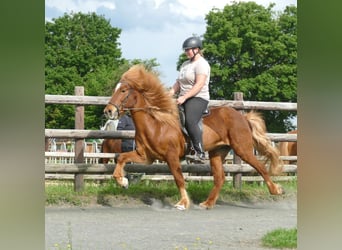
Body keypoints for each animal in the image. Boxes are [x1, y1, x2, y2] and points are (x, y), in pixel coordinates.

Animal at [103, 64, 284, 209]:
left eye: (123, 90)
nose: (108, 111)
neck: (156, 124)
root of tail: (243, 117)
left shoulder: (171, 156)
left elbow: (179, 178)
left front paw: (183, 203)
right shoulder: (145, 156)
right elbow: (121, 158)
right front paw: (122, 181)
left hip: (242, 149)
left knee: (260, 167)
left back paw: (276, 189)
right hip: (217, 152)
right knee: (220, 178)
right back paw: (208, 203)